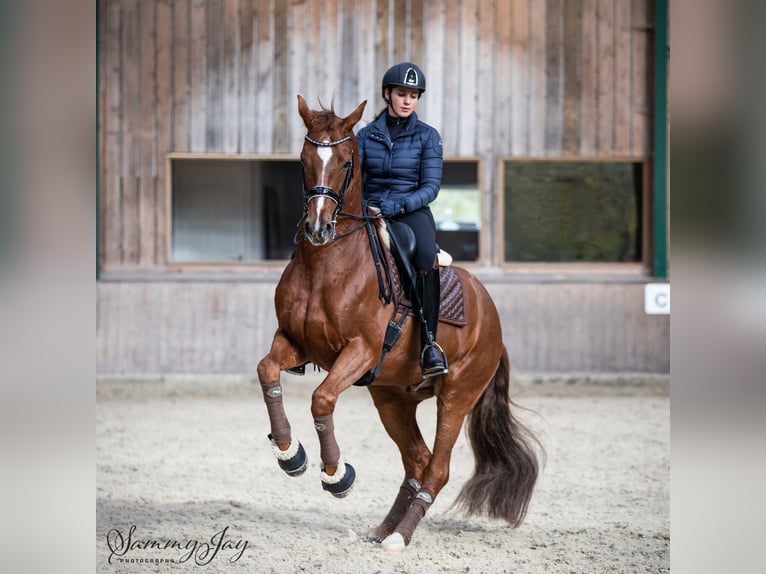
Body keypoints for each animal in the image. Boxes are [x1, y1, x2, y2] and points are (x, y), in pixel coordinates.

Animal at [256, 95, 542, 552]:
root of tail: (492, 316)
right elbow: (267, 370)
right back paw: (384, 529)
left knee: (437, 468)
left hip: (456, 396)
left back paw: (399, 537)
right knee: (417, 461)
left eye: (346, 161)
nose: (318, 228)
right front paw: (289, 452)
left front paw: (335, 475)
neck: (325, 266)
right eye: (303, 160)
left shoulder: (360, 350)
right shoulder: (294, 342)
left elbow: (322, 398)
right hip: (392, 398)